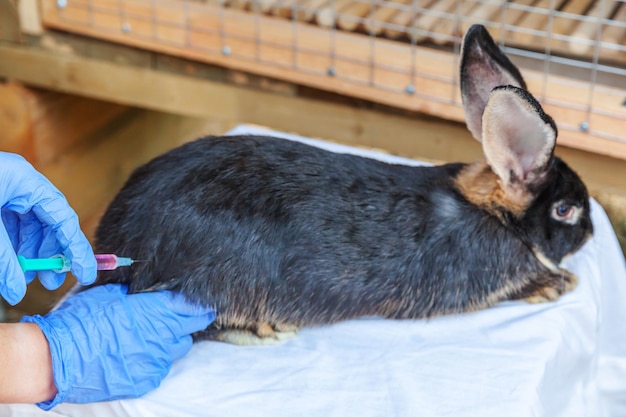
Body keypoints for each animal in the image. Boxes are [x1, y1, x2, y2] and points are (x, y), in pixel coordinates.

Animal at [89, 25, 588, 344]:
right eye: (566, 210)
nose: (592, 233)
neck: (495, 214)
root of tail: (116, 245)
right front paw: (560, 284)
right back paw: (264, 334)